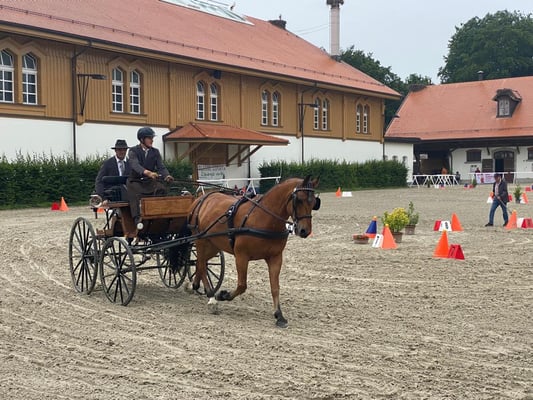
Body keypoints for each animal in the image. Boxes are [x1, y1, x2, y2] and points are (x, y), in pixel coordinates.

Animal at [187, 175, 320, 328]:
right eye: (299, 200)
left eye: (314, 202)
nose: (305, 231)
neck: (264, 218)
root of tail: (201, 198)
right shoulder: (241, 256)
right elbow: (242, 285)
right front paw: (222, 295)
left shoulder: (275, 258)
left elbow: (275, 287)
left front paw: (279, 315)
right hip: (201, 241)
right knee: (202, 264)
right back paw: (211, 296)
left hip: (213, 245)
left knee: (200, 262)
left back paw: (195, 285)